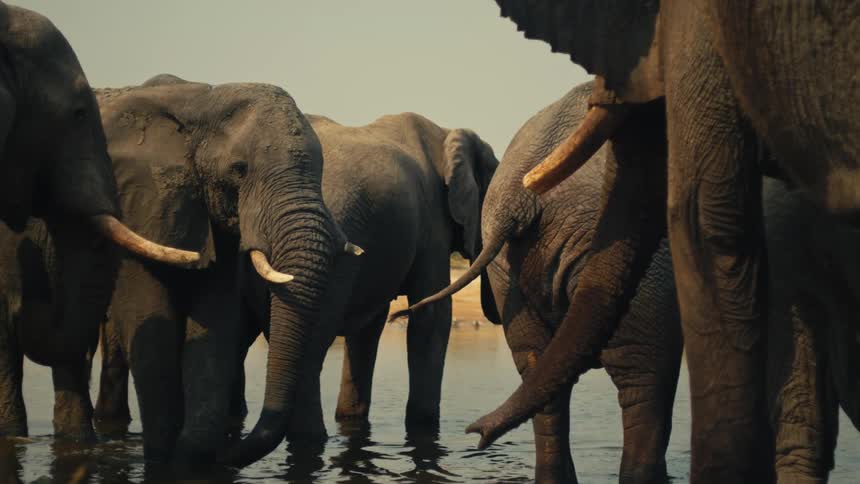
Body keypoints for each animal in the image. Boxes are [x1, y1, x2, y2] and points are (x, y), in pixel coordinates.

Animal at [89, 74, 356, 467]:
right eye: (239, 170)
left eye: (320, 170)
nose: (230, 451)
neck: (202, 100)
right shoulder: (138, 205)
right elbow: (149, 319)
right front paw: (167, 459)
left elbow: (214, 323)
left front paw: (194, 456)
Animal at [234, 112, 497, 448]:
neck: (447, 134)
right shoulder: (433, 224)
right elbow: (432, 318)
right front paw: (424, 429)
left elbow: (369, 329)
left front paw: (351, 421)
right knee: (310, 348)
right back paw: (312, 440)